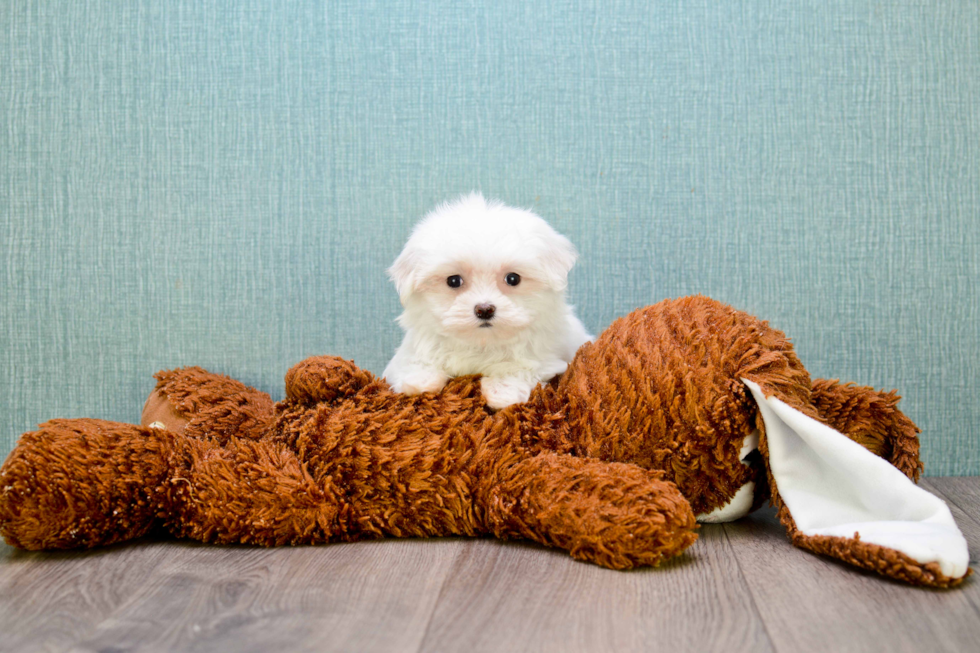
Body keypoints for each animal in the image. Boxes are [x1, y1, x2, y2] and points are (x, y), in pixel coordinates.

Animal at [384, 191, 592, 410]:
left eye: (513, 279)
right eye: (453, 281)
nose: (484, 309)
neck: (482, 343)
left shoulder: (546, 357)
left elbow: (521, 367)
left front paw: (503, 392)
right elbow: (415, 360)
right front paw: (419, 381)